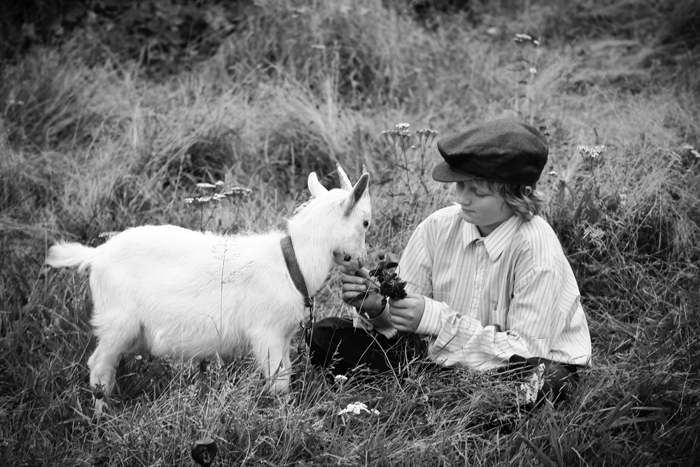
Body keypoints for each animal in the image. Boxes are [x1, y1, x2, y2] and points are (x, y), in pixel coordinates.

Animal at [46, 165, 371, 409]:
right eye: (366, 222)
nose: (362, 261)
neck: (293, 263)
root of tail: (96, 255)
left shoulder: (282, 336)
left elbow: (284, 374)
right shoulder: (267, 333)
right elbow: (278, 382)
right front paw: (282, 415)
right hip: (117, 321)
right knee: (99, 365)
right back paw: (103, 415)